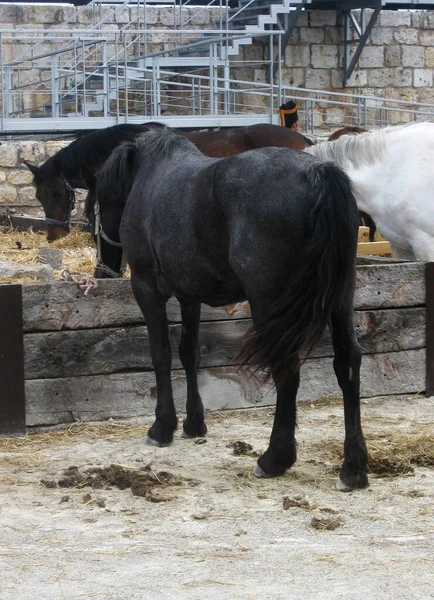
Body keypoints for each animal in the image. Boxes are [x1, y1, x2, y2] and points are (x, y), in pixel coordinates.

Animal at [83, 129, 368, 490]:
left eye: (91, 213)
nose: (101, 272)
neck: (148, 179)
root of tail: (317, 173)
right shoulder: (189, 295)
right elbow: (189, 353)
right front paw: (194, 424)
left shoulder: (147, 288)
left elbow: (160, 354)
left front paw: (162, 428)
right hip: (340, 298)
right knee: (347, 363)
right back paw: (353, 467)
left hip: (270, 303)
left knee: (286, 369)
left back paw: (274, 459)